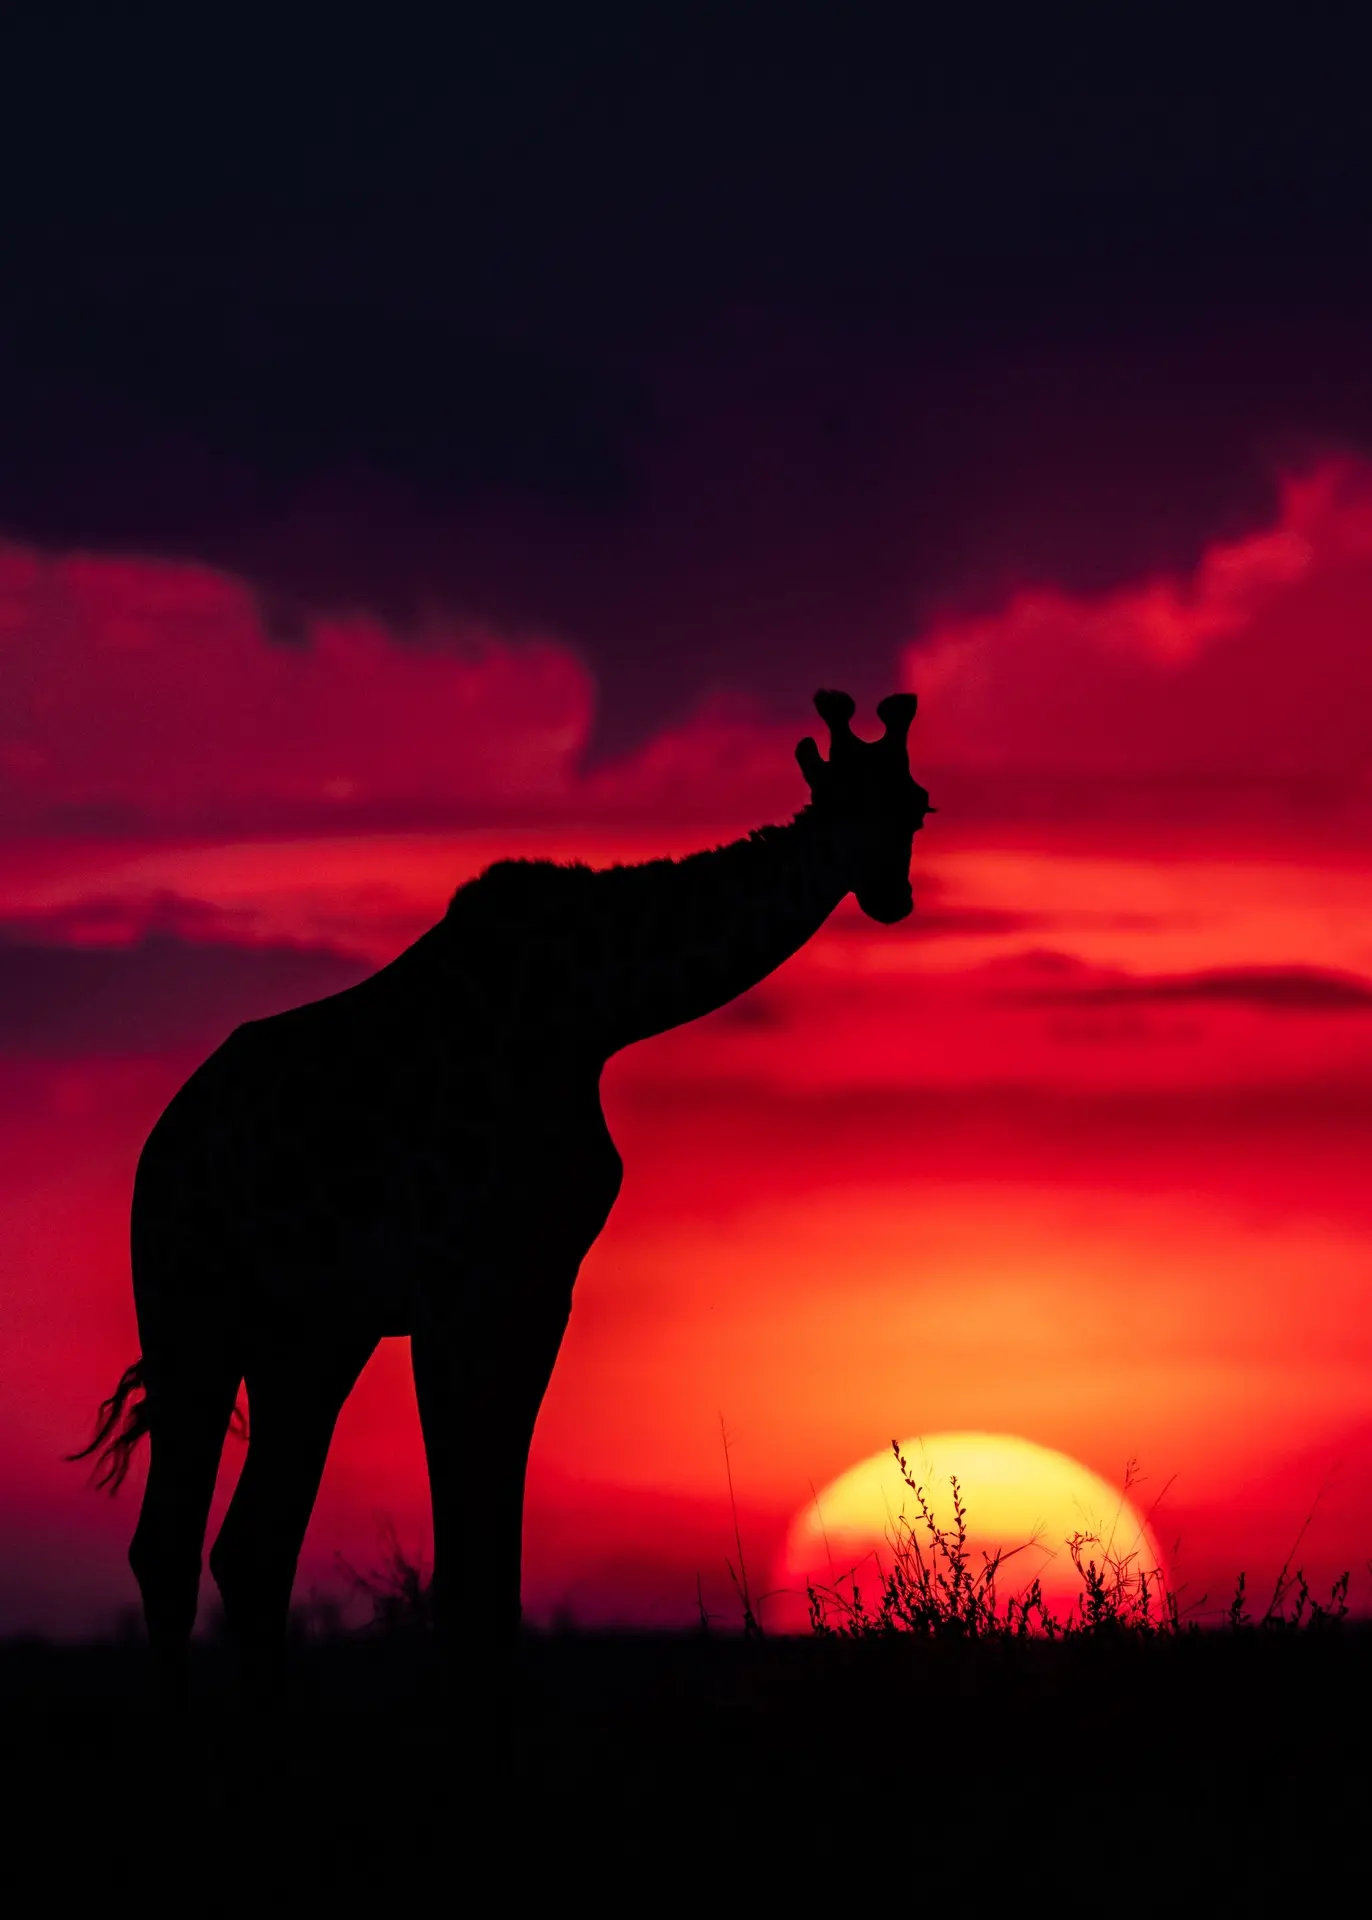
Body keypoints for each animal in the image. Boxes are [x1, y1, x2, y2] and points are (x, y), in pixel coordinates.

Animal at [71, 688, 934, 1704]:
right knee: (169, 1545)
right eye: (838, 807)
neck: (591, 1013)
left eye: (915, 806)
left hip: (307, 1338)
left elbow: (499, 1563)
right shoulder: (452, 1289)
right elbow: (460, 1559)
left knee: (252, 1546)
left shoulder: (535, 1288)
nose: (889, 894)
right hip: (189, 1309)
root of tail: (162, 1145)